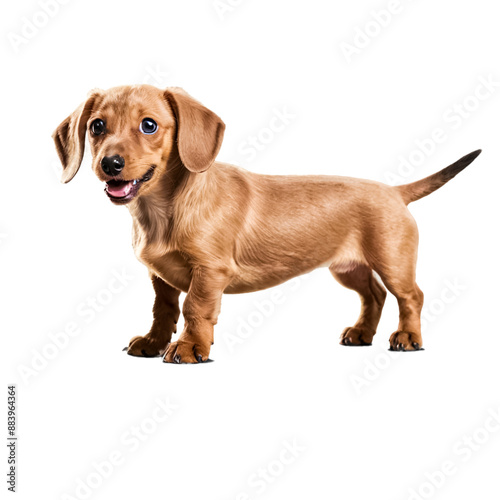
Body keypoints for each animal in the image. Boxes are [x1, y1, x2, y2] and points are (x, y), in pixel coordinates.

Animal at [51, 86, 480, 364]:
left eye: (149, 126)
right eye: (97, 126)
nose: (110, 165)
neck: (162, 209)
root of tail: (394, 190)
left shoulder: (209, 271)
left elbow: (194, 309)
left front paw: (189, 348)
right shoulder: (160, 275)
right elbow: (164, 309)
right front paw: (154, 342)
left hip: (393, 261)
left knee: (411, 297)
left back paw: (408, 337)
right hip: (348, 268)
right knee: (373, 295)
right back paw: (361, 334)